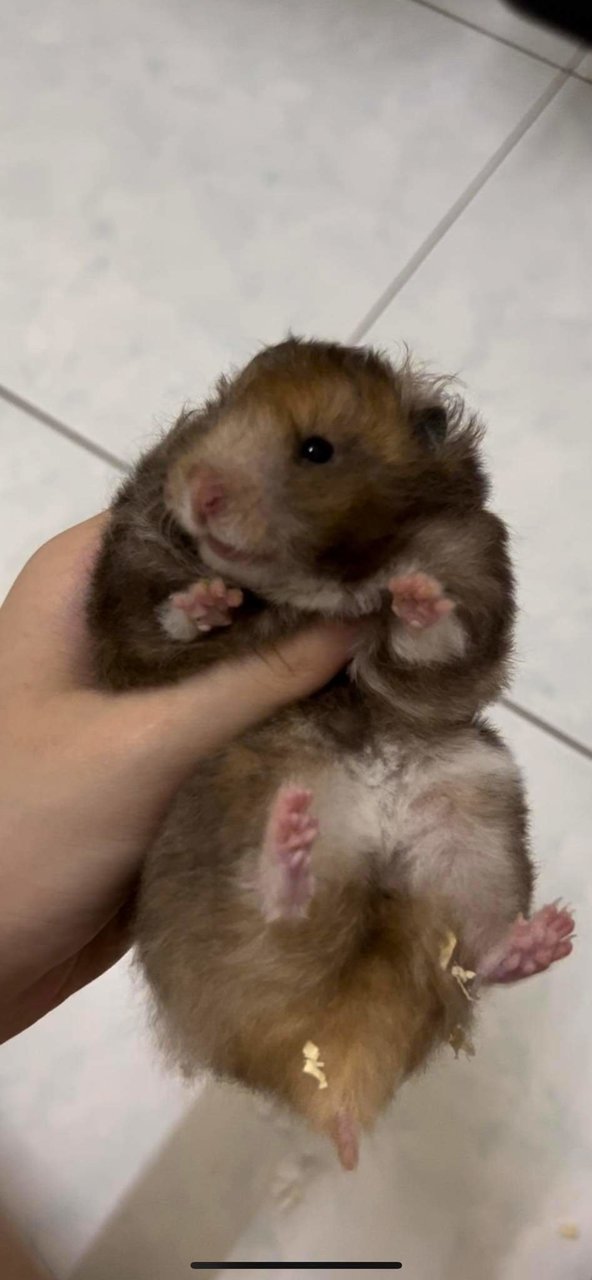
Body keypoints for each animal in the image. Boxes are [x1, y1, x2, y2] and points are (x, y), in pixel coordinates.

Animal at [87, 337, 574, 1172]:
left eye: (315, 450)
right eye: (216, 415)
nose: (200, 490)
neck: (317, 583)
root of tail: (333, 1078)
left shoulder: (475, 576)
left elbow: (438, 639)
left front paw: (414, 597)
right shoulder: (127, 597)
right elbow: (154, 622)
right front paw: (209, 603)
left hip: (477, 819)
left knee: (478, 950)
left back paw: (546, 938)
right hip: (228, 811)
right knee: (274, 909)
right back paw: (290, 845)